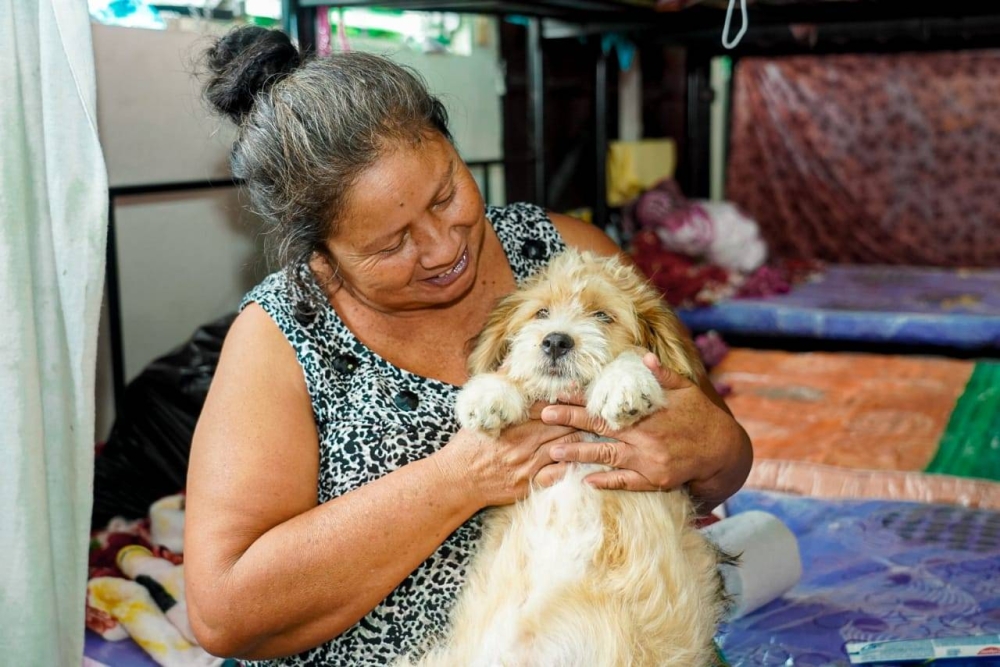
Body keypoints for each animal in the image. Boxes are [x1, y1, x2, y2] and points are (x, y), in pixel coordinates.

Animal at [404, 249, 727, 667]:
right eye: (541, 313)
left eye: (603, 316)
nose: (556, 340)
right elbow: (513, 371)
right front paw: (490, 393)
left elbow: (633, 357)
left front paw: (623, 383)